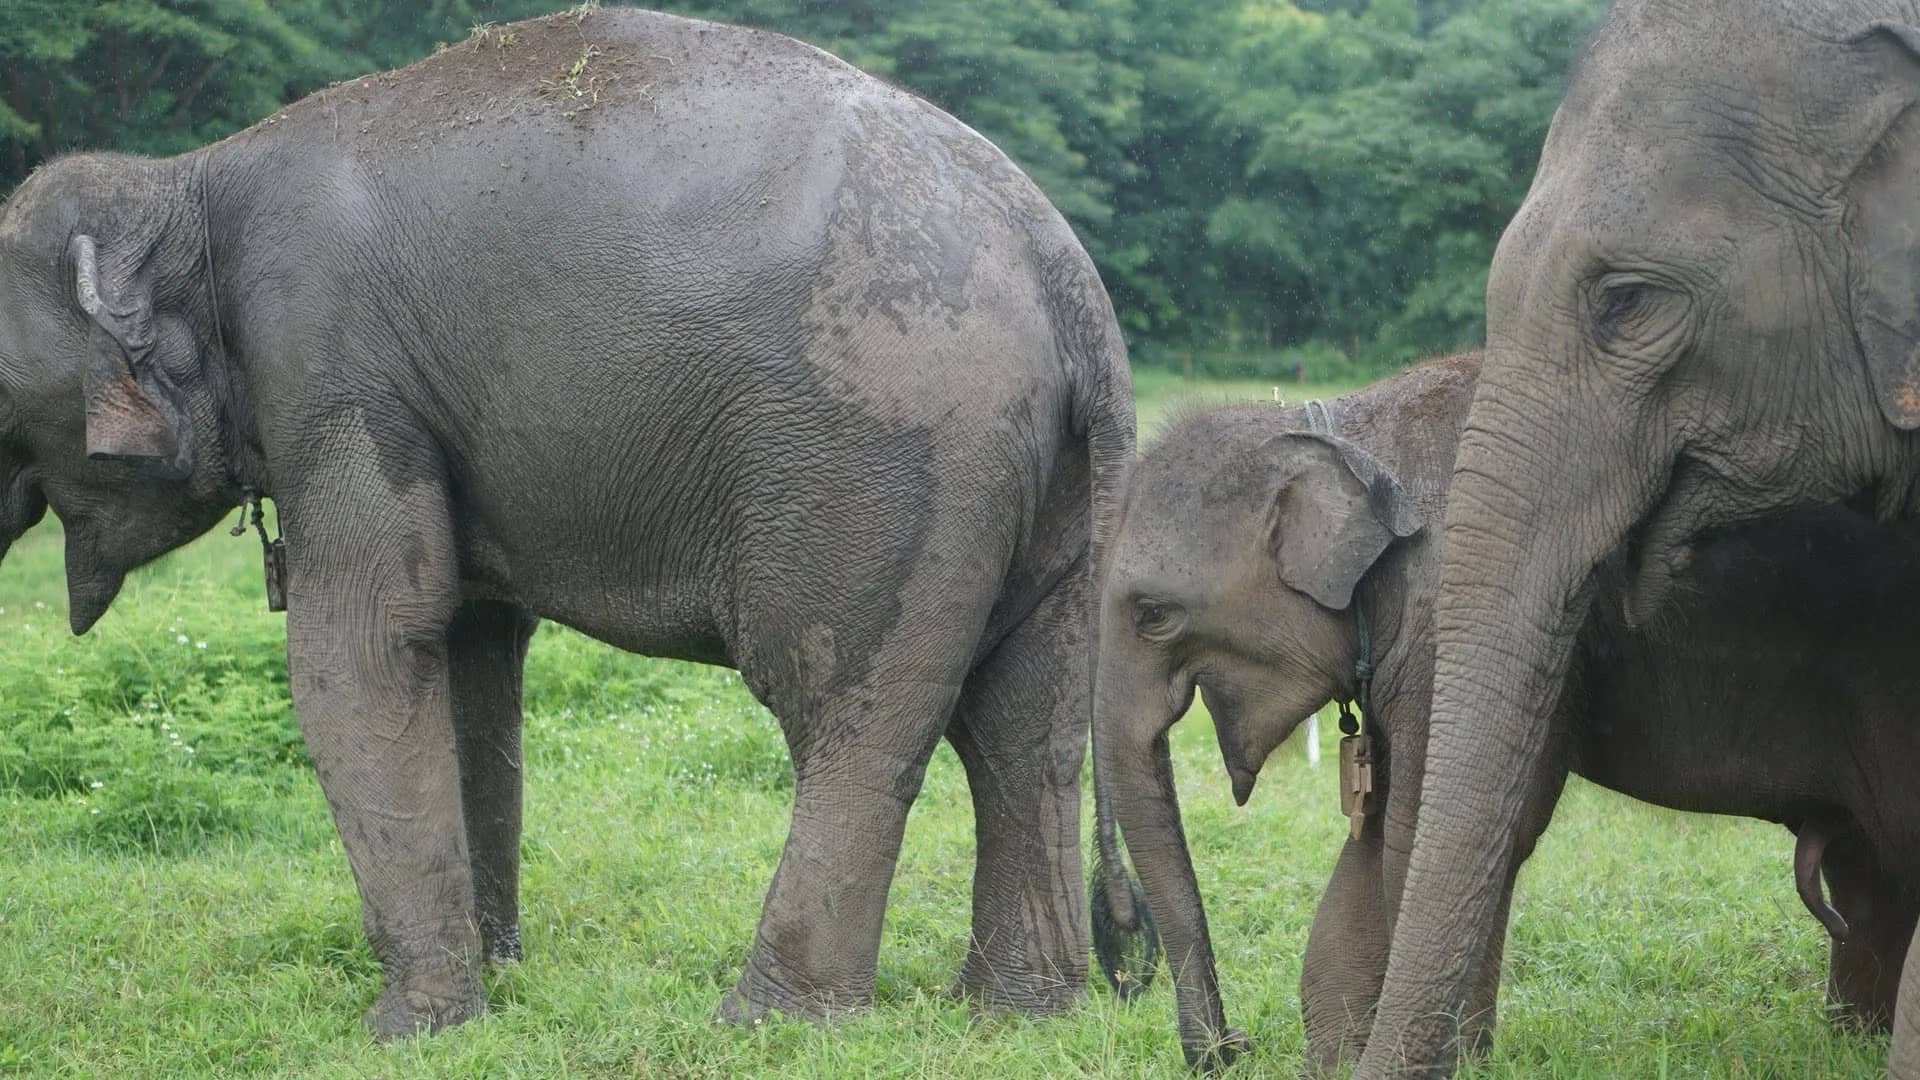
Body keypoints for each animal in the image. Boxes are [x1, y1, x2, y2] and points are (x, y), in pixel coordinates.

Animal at [0, 9, 1147, 1038]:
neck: (188, 181)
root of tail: (1068, 276)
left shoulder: (331, 370)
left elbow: (368, 641)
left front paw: (414, 1031)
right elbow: (468, 650)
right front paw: (496, 979)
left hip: (882, 458)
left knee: (845, 709)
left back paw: (772, 1025)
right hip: (1041, 491)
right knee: (1026, 728)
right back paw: (1015, 1016)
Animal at [1095, 352, 1920, 1070]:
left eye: (1151, 616)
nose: (1230, 1047)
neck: (1344, 432)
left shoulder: (1459, 617)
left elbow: (1446, 832)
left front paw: (1449, 1062)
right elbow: (1381, 835)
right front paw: (1334, 1062)